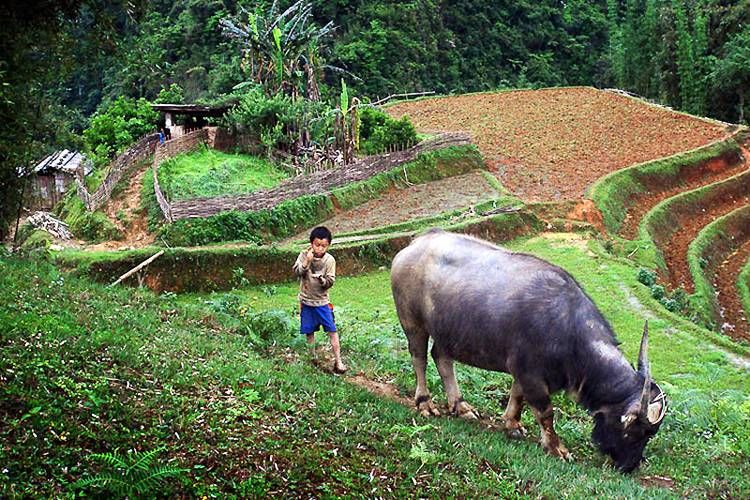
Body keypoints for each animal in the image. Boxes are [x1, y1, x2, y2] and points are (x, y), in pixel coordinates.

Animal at [390, 230, 668, 472]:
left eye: (649, 435)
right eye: (635, 432)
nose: (629, 466)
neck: (570, 334)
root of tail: (413, 245)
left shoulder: (524, 372)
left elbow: (518, 397)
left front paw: (512, 424)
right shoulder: (530, 373)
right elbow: (545, 412)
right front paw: (556, 448)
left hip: (448, 332)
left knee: (441, 357)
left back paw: (460, 406)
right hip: (413, 323)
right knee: (419, 357)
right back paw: (425, 403)